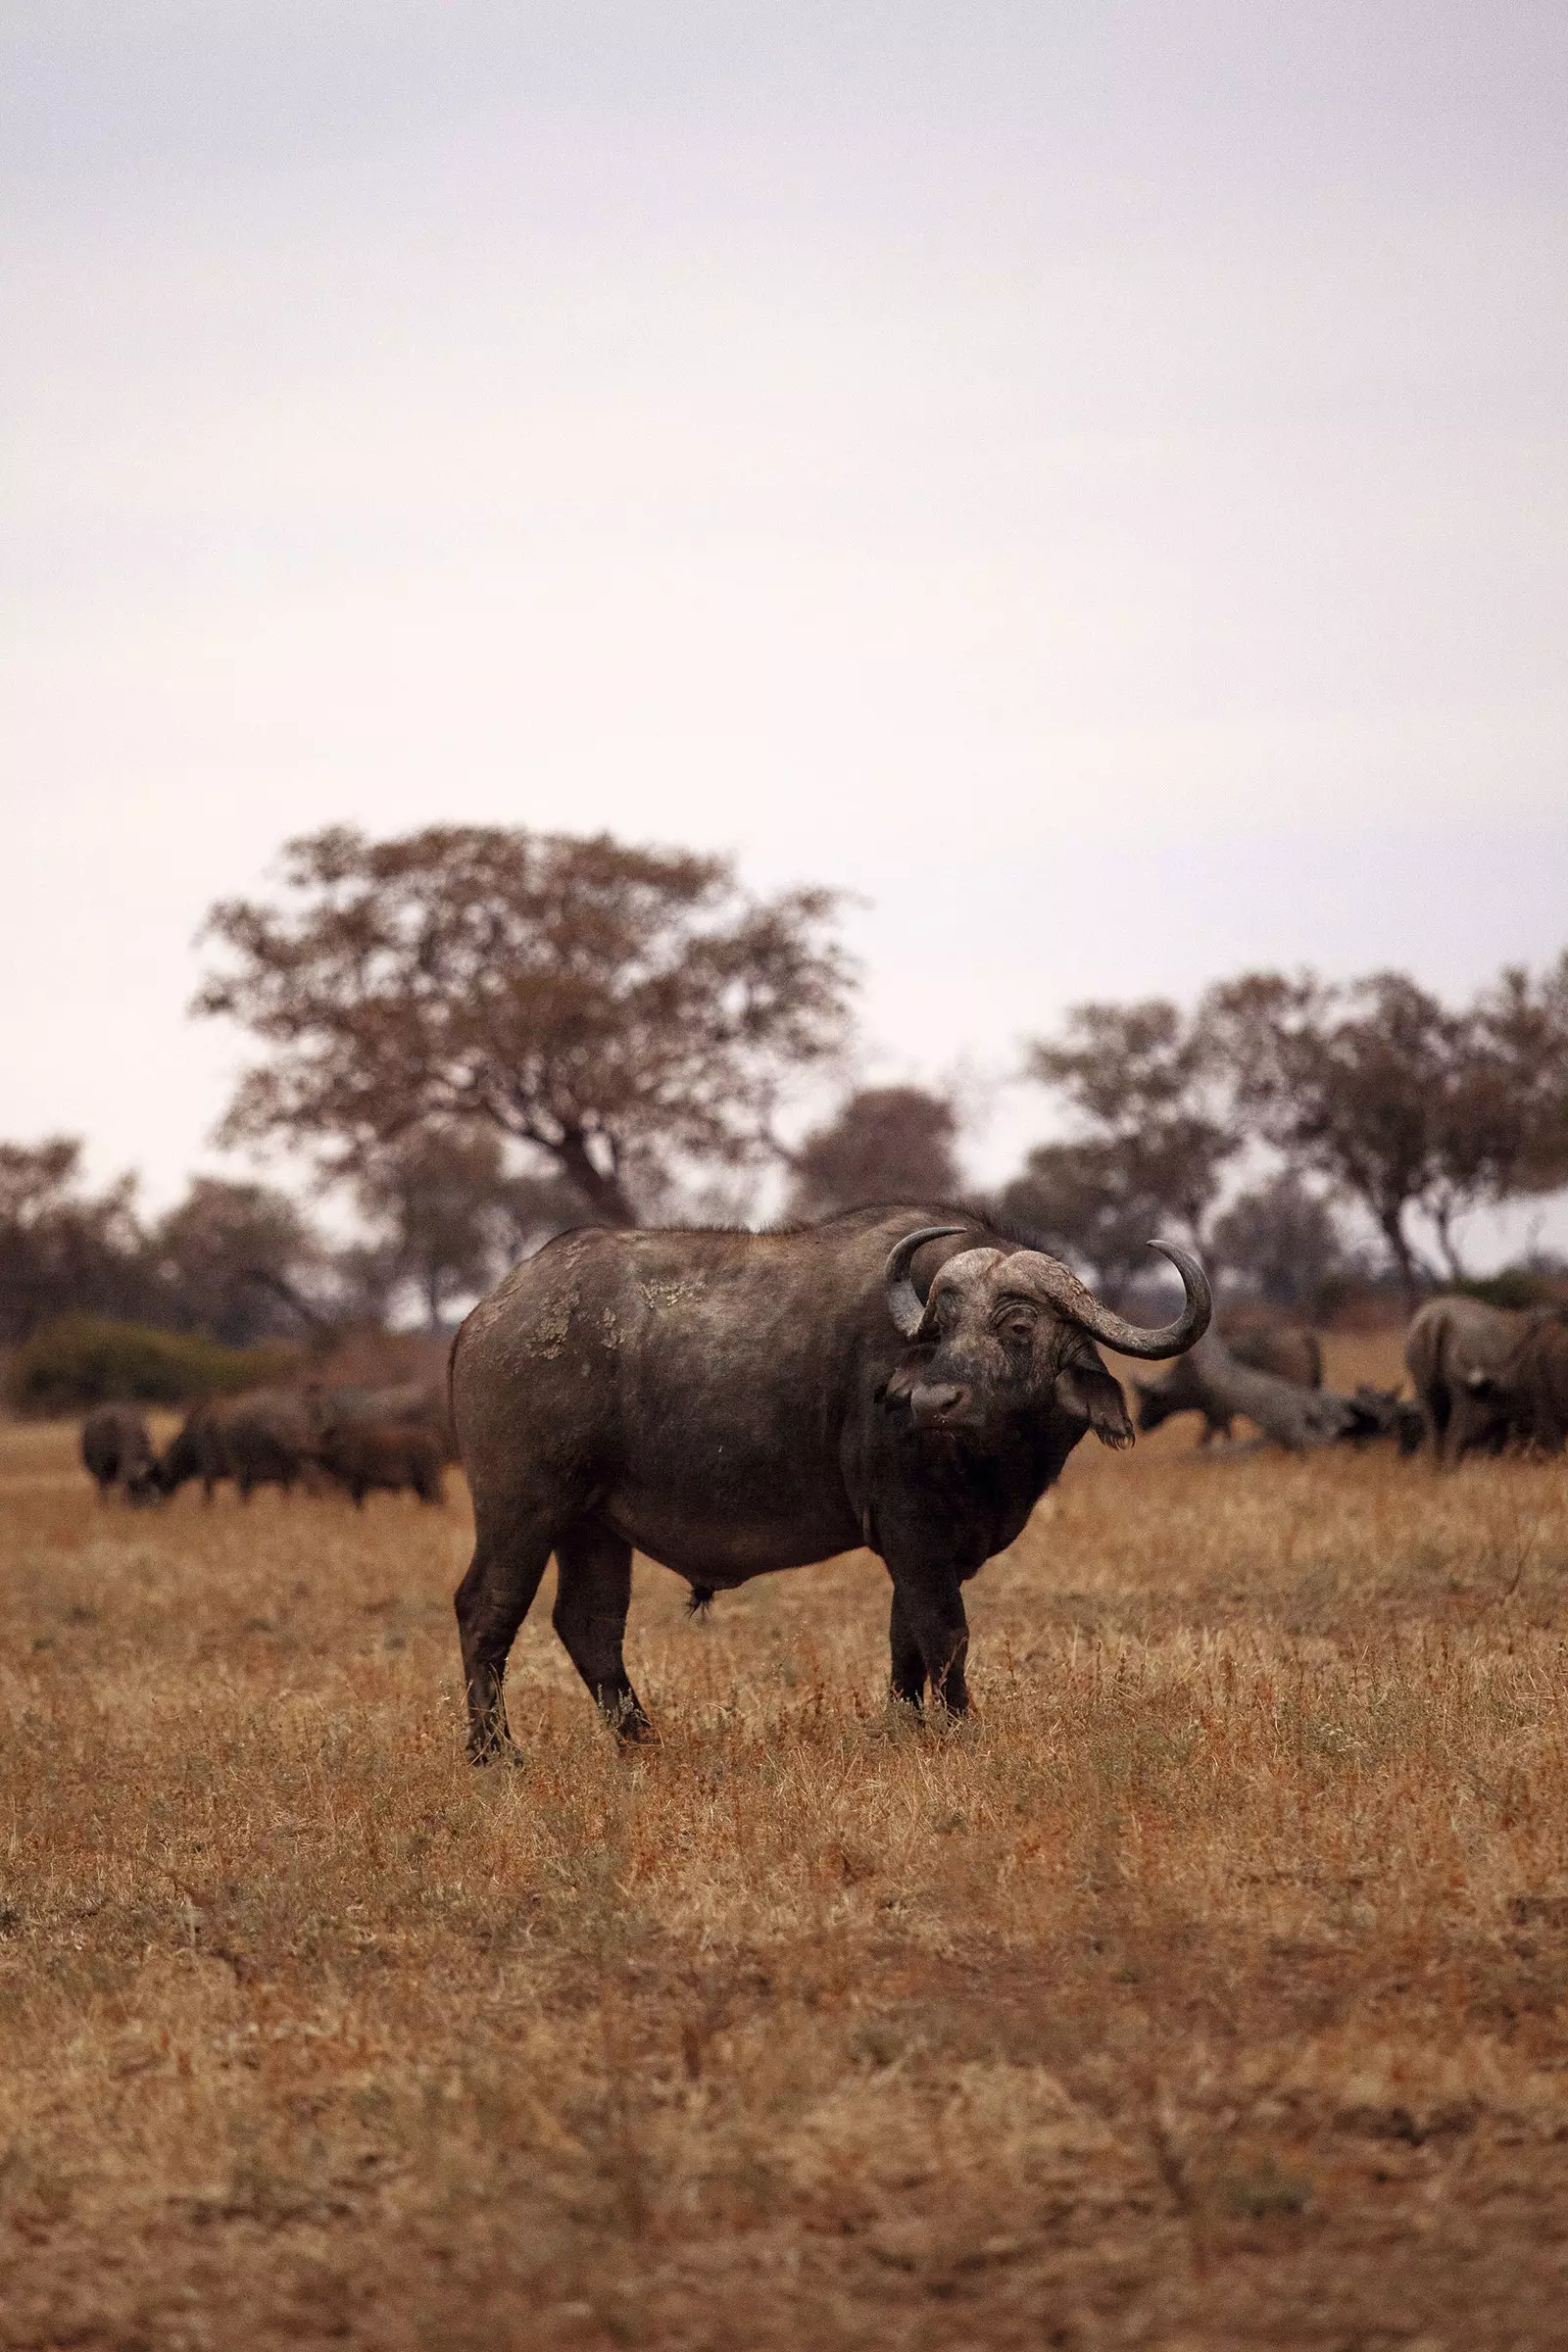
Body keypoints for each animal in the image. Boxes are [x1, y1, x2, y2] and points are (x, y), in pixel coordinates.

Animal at [446, 1203, 1212, 1759]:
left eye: (1018, 1325)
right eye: (940, 1328)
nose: (933, 1402)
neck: (985, 1457)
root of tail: (487, 1315)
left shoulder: (926, 1550)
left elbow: (907, 1638)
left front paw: (908, 1727)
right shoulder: (913, 1531)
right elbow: (946, 1633)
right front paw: (963, 1727)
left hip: (593, 1526)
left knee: (589, 1623)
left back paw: (643, 1741)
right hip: (524, 1508)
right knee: (486, 1609)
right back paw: (496, 1754)